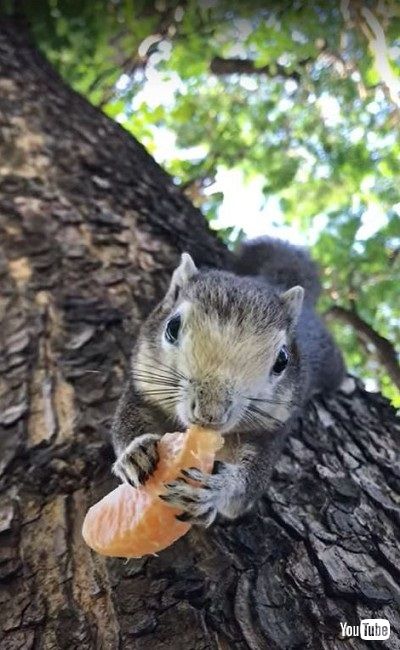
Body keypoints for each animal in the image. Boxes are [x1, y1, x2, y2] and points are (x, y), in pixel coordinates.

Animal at [111, 238, 346, 528]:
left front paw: (217, 488)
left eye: (282, 360)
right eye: (172, 327)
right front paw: (136, 451)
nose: (210, 413)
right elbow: (125, 423)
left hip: (330, 361)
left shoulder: (271, 431)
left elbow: (248, 486)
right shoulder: (141, 384)